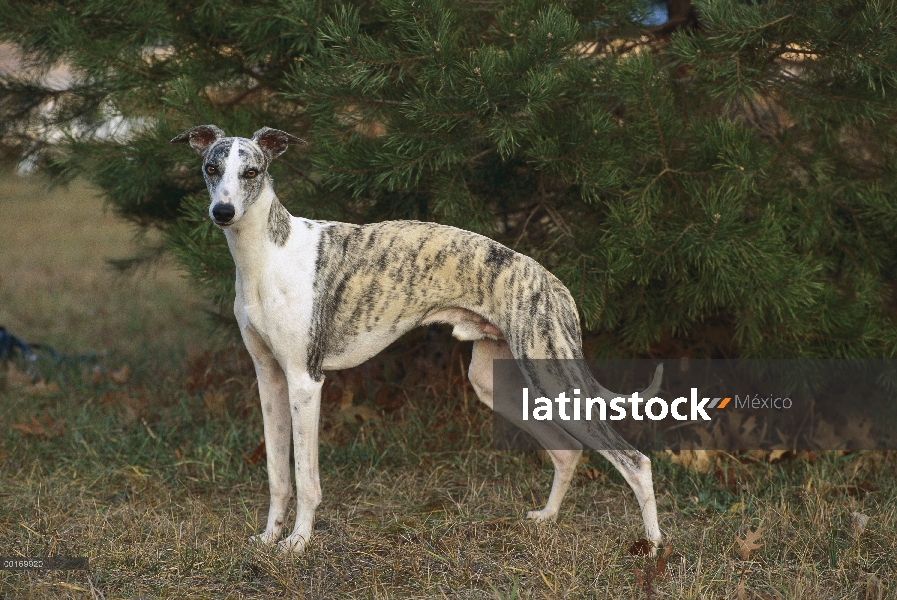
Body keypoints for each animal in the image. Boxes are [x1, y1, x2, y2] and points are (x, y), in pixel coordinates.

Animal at [170, 125, 664, 552]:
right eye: (211, 168)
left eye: (251, 172)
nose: (222, 213)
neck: (268, 256)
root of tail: (555, 284)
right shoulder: (270, 377)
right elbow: (278, 474)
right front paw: (269, 538)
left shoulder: (305, 380)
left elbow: (307, 480)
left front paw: (298, 543)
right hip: (497, 383)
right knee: (566, 451)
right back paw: (547, 518)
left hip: (553, 375)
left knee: (634, 460)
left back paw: (654, 545)